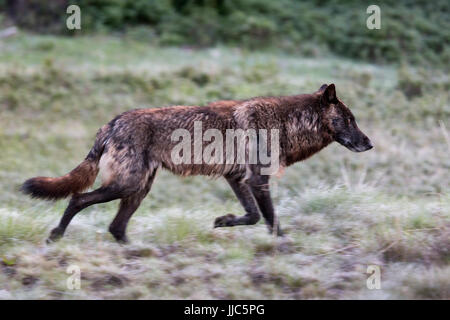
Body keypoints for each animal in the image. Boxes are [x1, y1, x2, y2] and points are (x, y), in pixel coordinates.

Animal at [22, 84, 372, 244]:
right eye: (350, 120)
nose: (369, 144)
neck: (285, 123)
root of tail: (112, 122)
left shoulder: (237, 179)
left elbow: (253, 216)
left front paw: (224, 221)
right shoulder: (257, 181)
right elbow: (270, 220)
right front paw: (284, 245)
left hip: (137, 190)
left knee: (115, 226)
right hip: (127, 186)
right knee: (78, 199)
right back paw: (56, 235)